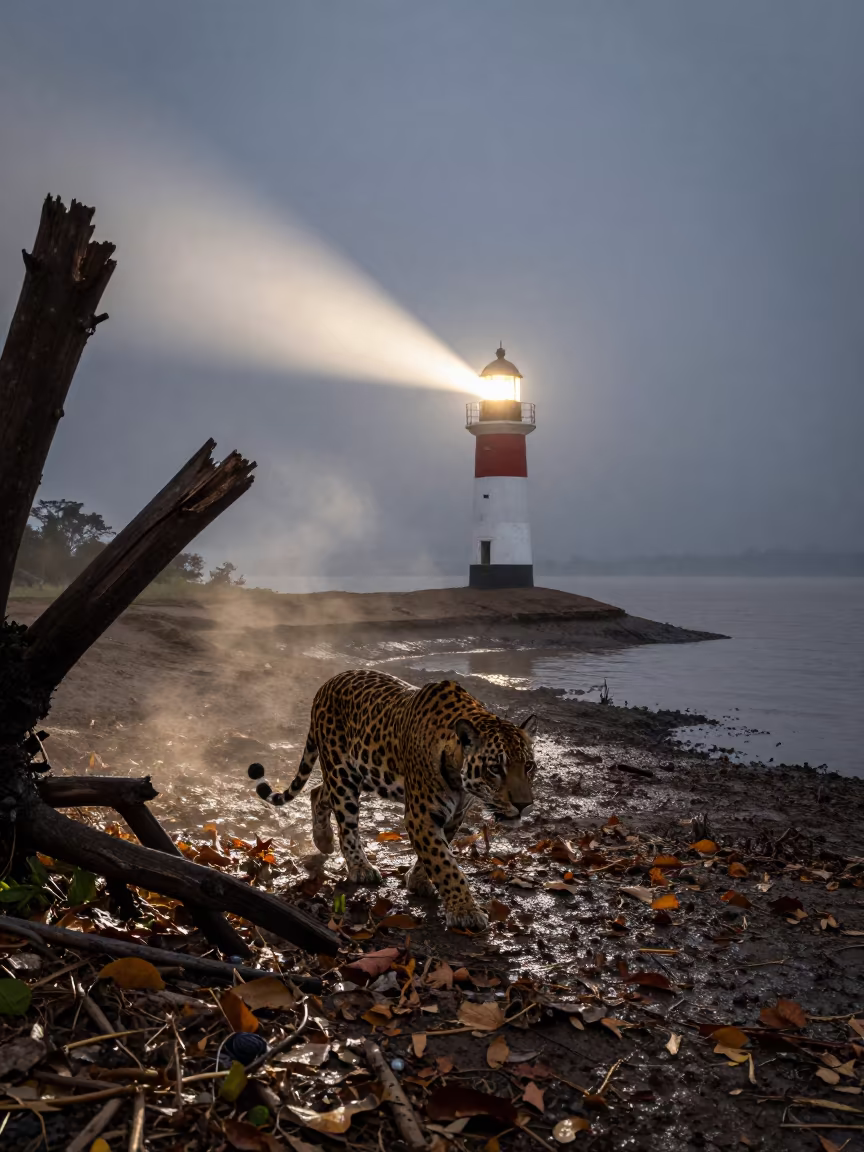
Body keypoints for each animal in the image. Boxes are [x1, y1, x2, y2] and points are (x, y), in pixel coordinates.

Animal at [247, 669, 538, 931]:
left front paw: (418, 880)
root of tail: (327, 683)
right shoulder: (421, 816)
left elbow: (437, 854)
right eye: (495, 768)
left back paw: (324, 841)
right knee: (346, 825)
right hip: (342, 776)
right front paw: (465, 911)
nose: (524, 805)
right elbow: (446, 864)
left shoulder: (454, 815)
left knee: (318, 791)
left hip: (358, 776)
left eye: (529, 766)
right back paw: (360, 867)